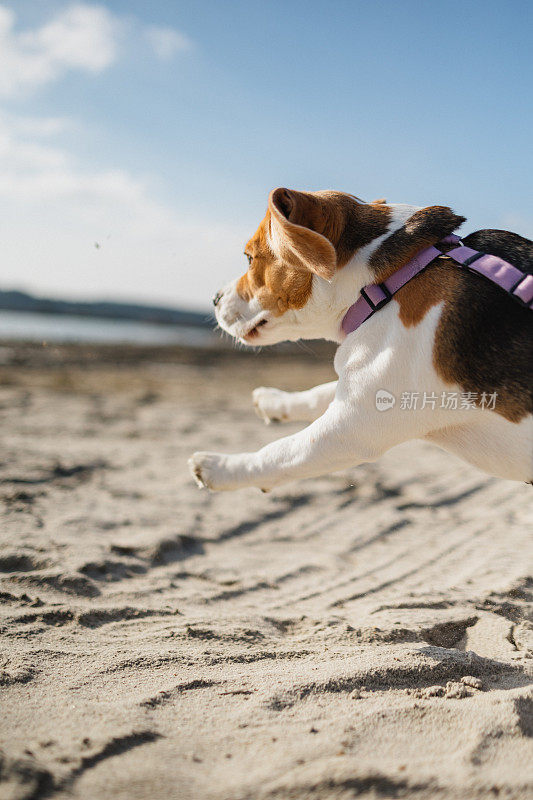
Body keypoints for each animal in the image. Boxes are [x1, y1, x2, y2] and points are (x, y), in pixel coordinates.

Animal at [189, 188, 528, 490]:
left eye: (249, 258)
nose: (215, 299)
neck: (393, 280)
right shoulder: (362, 383)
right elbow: (319, 391)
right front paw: (274, 400)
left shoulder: (349, 429)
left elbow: (278, 452)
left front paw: (220, 467)